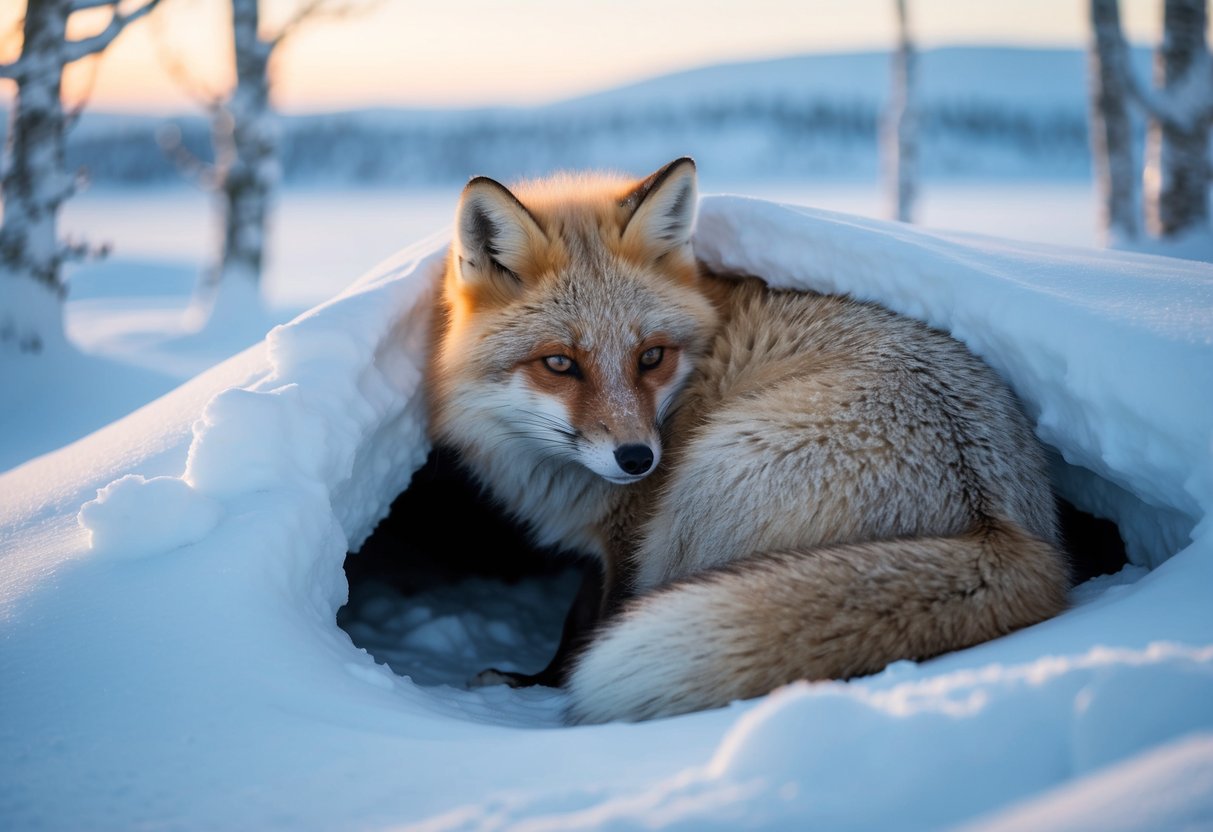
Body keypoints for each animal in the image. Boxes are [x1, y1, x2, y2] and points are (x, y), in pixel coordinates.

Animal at [423, 156, 1070, 724]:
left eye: (651, 356)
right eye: (559, 363)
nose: (638, 460)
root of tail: (1002, 527)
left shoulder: (629, 537)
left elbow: (589, 624)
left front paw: (540, 683)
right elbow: (578, 617)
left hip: (696, 499)